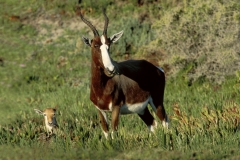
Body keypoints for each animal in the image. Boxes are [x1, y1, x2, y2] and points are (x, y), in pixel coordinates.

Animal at [80, 8, 169, 138]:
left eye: (109, 45)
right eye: (95, 45)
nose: (111, 69)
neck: (102, 87)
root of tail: (157, 69)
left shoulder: (116, 108)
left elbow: (114, 132)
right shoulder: (100, 110)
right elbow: (106, 133)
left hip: (157, 102)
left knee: (165, 121)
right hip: (141, 109)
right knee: (152, 123)